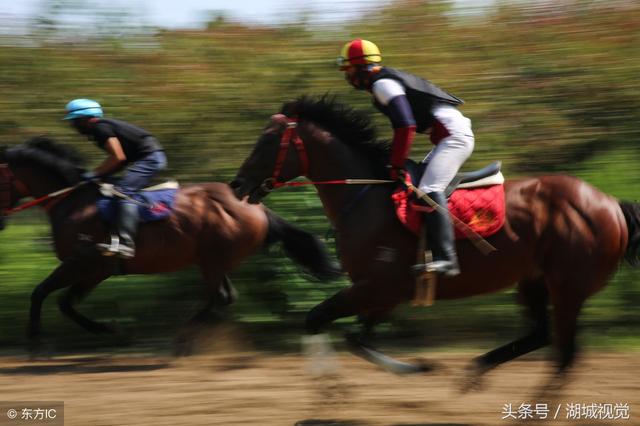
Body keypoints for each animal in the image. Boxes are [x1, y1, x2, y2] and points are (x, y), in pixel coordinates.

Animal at [0, 138, 342, 344]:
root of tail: (257, 206)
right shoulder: (94, 270)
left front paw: (36, 334)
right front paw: (105, 328)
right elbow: (62, 301)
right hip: (213, 260)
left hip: (212, 259)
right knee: (224, 297)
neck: (71, 201)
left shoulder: (84, 264)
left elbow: (45, 293)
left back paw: (182, 337)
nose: (1, 220)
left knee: (220, 297)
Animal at [230, 97, 640, 390]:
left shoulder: (378, 287)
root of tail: (609, 203)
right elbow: (355, 338)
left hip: (568, 286)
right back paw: (475, 370)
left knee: (565, 354)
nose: (236, 185)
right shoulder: (383, 293)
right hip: (534, 280)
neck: (365, 196)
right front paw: (416, 368)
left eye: (267, 141)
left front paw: (329, 387)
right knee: (540, 335)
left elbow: (318, 320)